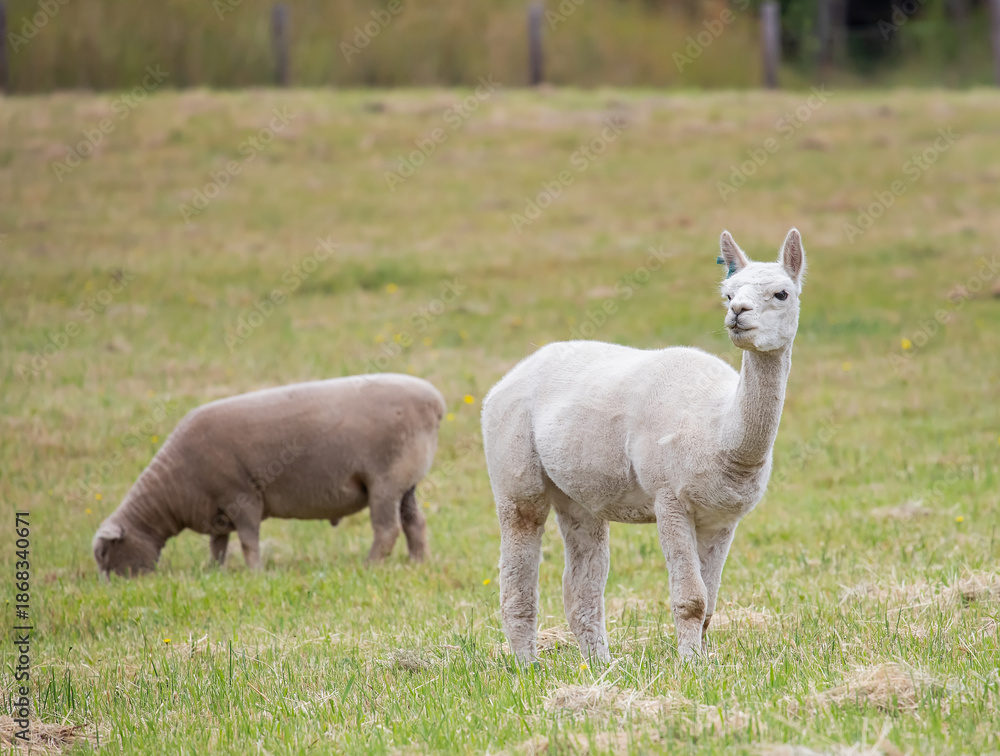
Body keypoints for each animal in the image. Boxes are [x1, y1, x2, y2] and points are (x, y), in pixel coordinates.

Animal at [93, 374, 446, 578]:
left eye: (103, 553)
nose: (112, 587)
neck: (170, 491)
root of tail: (435, 402)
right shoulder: (217, 510)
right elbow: (218, 544)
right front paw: (214, 572)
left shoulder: (242, 495)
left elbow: (248, 540)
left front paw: (255, 573)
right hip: (406, 482)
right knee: (415, 523)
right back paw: (419, 563)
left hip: (385, 480)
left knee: (387, 529)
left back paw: (370, 566)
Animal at [481, 229, 807, 663]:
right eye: (728, 293)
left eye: (781, 293)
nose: (738, 312)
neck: (718, 434)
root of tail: (511, 376)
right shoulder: (669, 497)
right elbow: (691, 599)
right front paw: (691, 665)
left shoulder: (722, 518)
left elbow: (710, 603)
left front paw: (703, 660)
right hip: (514, 466)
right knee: (518, 572)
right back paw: (527, 666)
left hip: (578, 493)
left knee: (582, 587)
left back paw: (600, 666)